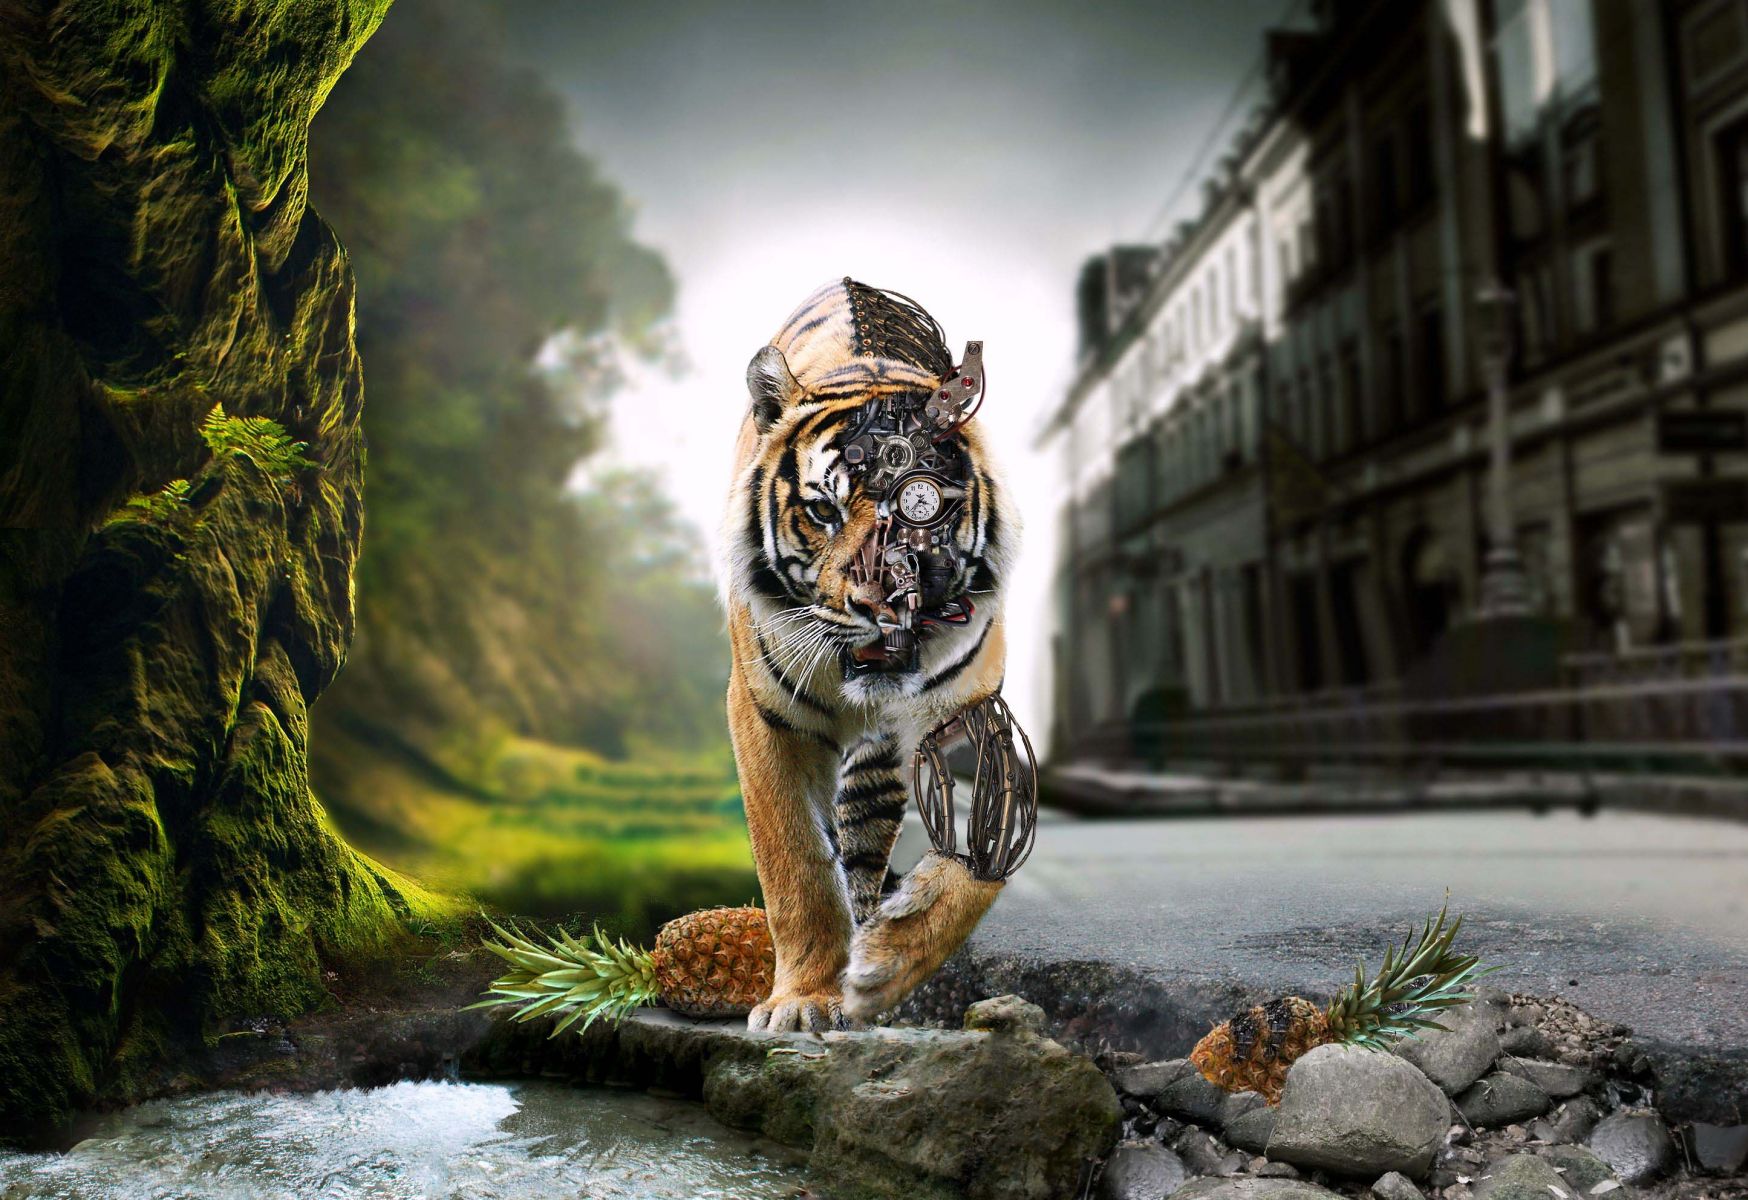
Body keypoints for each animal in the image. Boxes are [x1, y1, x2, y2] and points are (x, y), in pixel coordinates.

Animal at [719, 278, 1019, 1032]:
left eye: (922, 508)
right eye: (823, 512)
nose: (882, 604)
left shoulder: (973, 716)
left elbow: (975, 861)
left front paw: (886, 964)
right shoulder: (765, 716)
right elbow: (795, 862)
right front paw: (802, 999)